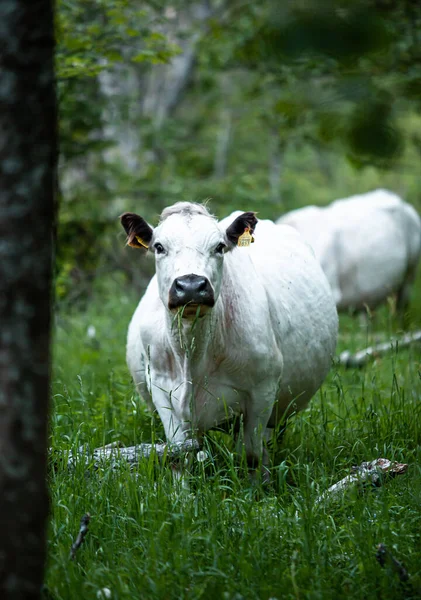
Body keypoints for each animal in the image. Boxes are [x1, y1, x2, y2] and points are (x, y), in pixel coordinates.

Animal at [120, 203, 336, 478]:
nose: (191, 285)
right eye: (159, 246)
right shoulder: (162, 391)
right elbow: (180, 457)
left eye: (219, 246)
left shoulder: (262, 392)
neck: (193, 353)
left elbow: (252, 456)